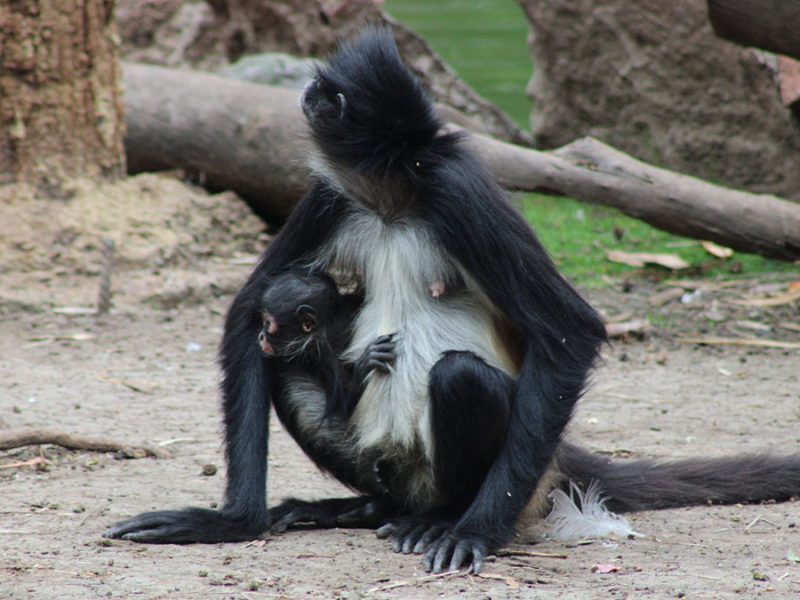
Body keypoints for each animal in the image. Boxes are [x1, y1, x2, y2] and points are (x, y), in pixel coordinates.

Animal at [105, 29, 800, 574]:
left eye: (326, 92)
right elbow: (251, 309)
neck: (395, 199)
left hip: (507, 478)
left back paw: (443, 519)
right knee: (288, 367)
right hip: (380, 461)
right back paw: (368, 508)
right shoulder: (334, 192)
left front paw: (477, 534)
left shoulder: (458, 188)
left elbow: (570, 330)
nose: (306, 92)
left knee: (460, 376)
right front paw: (233, 521)